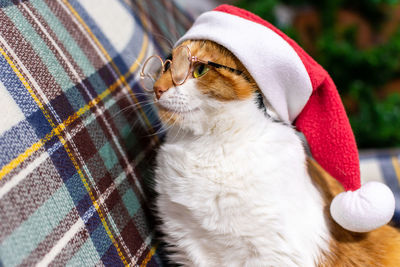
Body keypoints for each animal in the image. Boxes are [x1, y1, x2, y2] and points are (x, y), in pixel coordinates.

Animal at [148, 40, 400, 267]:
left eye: (200, 69)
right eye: (167, 65)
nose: (157, 89)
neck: (210, 146)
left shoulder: (273, 253)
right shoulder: (188, 244)